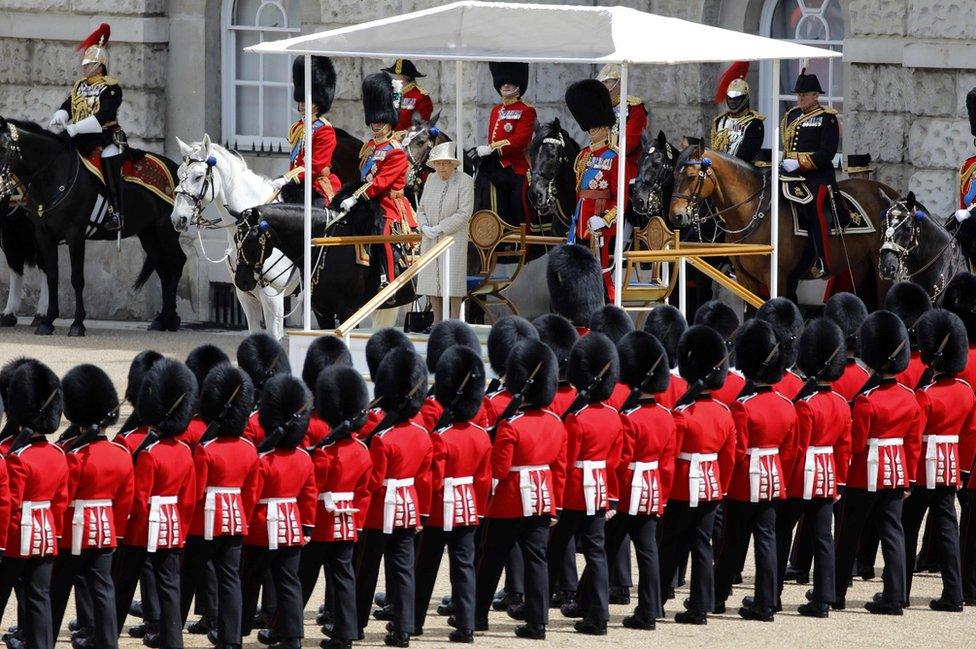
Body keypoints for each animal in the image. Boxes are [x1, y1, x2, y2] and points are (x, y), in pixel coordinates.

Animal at [0, 117, 187, 336]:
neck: (53, 177)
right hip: (149, 234)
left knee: (177, 263)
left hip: (166, 229)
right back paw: (161, 320)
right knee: (163, 269)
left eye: (3, 148)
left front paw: (77, 323)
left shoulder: (75, 234)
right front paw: (48, 321)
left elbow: (77, 278)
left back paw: (171, 318)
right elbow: (52, 276)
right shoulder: (43, 235)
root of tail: (175, 167)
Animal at [668, 147, 896, 308]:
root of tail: (888, 192)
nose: (676, 216)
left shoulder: (776, 276)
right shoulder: (745, 279)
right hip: (857, 265)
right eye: (674, 175)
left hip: (881, 266)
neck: (754, 211)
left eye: (691, 176)